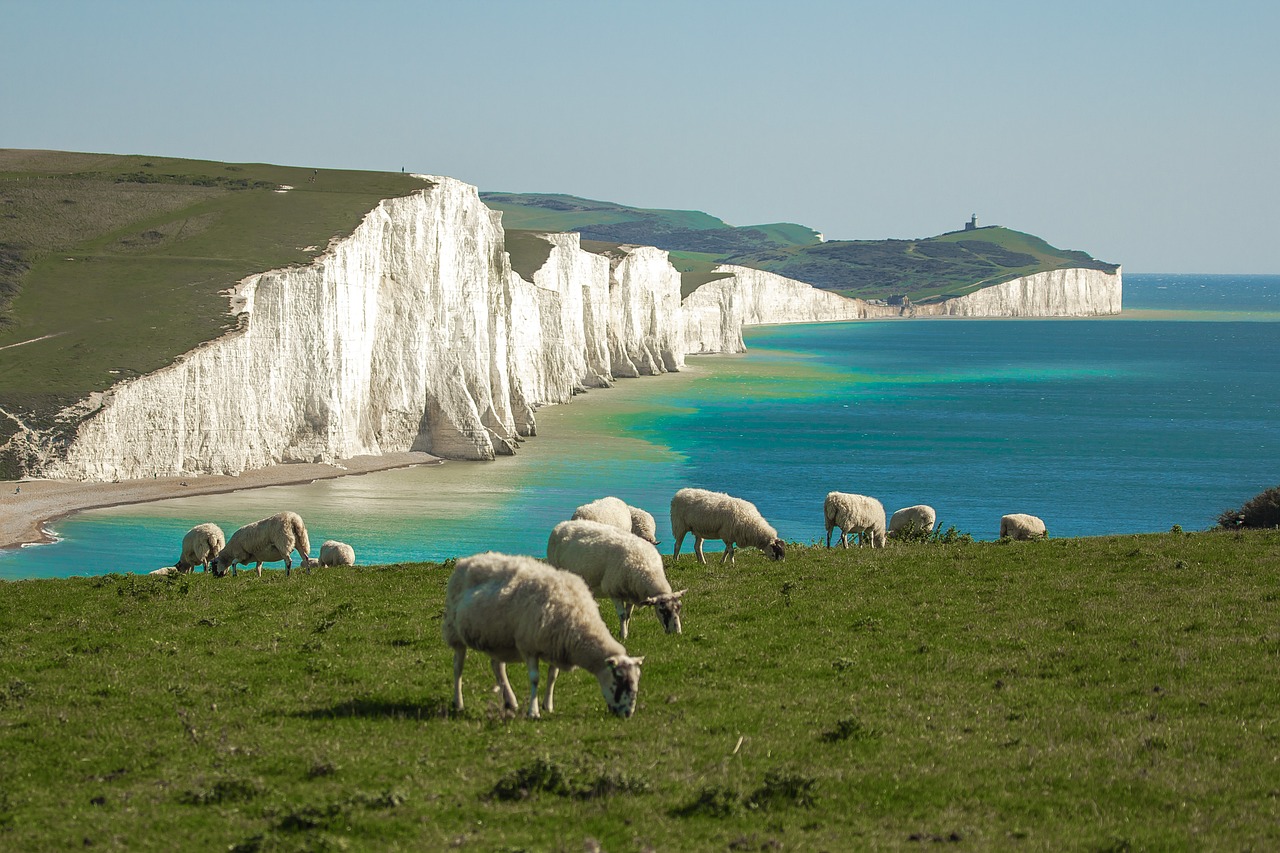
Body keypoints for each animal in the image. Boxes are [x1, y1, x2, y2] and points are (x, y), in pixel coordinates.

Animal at [442, 550, 645, 717]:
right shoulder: (529, 646)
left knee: (497, 666)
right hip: (454, 630)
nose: (628, 714)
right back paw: (458, 702)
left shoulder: (556, 645)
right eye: (619, 680)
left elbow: (552, 676)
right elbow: (535, 679)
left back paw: (510, 701)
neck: (579, 621)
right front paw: (533, 712)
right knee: (457, 666)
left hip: (498, 638)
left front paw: (548, 705)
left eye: (636, 681)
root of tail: (468, 560)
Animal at [550, 517, 691, 637]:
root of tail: (563, 524)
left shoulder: (631, 595)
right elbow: (622, 615)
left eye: (679, 608)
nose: (677, 633)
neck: (645, 568)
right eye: (663, 610)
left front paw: (625, 633)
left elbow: (628, 615)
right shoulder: (614, 591)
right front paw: (623, 636)